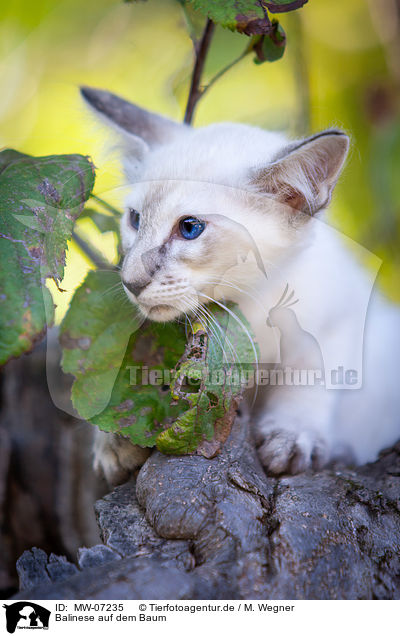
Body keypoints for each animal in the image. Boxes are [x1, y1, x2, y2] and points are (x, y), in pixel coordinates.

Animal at [81, 87, 400, 484]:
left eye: (189, 228)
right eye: (135, 220)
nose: (131, 281)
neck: (248, 307)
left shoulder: (346, 321)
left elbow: (313, 374)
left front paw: (293, 435)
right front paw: (116, 439)